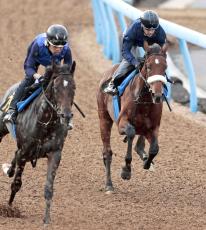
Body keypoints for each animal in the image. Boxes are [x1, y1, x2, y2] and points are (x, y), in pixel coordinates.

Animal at [0, 61, 75, 225]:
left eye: (73, 87)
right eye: (55, 87)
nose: (66, 115)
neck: (45, 123)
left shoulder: (55, 154)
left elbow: (49, 189)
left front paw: (47, 219)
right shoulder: (25, 153)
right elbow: (16, 184)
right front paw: (8, 208)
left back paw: (9, 169)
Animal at [97, 42, 168, 191]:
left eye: (165, 67)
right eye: (148, 66)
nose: (158, 95)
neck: (144, 100)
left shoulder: (153, 127)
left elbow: (155, 148)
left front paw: (147, 163)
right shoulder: (122, 123)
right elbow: (130, 133)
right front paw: (126, 171)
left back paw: (143, 154)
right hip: (104, 118)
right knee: (107, 152)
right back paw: (109, 185)